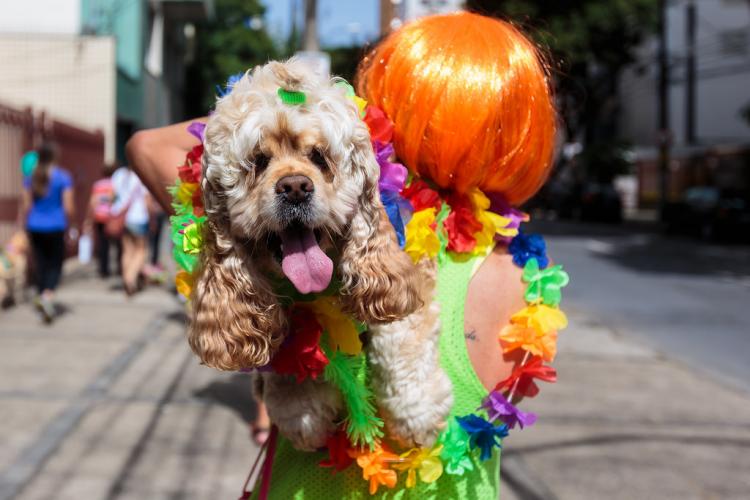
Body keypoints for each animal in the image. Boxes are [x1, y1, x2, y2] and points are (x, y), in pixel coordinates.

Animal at [191, 60, 456, 452]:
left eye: (319, 157)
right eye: (258, 161)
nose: (295, 188)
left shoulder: (406, 273)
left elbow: (402, 335)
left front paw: (417, 413)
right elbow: (294, 356)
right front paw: (304, 414)